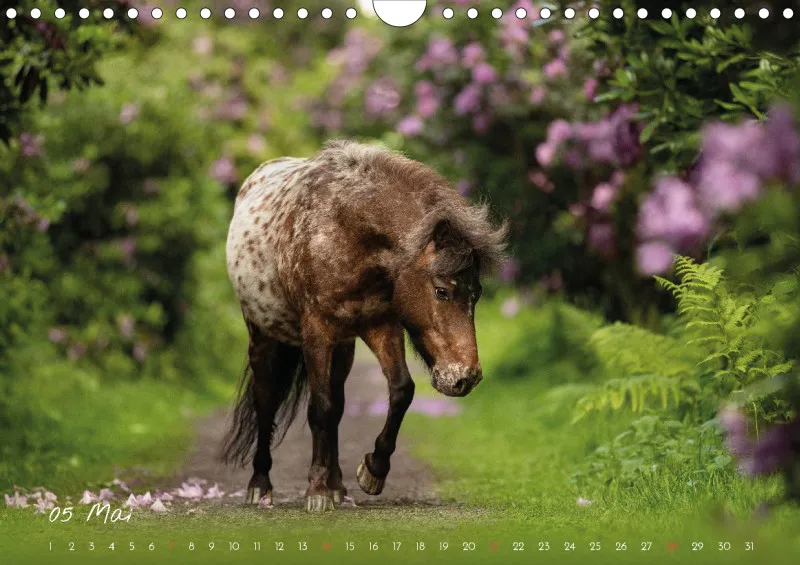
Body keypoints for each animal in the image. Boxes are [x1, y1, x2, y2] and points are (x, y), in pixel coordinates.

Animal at [222, 139, 507, 512]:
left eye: (478, 294)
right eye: (442, 291)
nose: (465, 378)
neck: (345, 231)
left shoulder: (381, 326)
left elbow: (400, 391)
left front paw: (372, 471)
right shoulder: (316, 334)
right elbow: (319, 408)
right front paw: (315, 491)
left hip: (344, 347)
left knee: (339, 405)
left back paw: (337, 485)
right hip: (262, 335)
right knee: (266, 400)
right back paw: (260, 485)